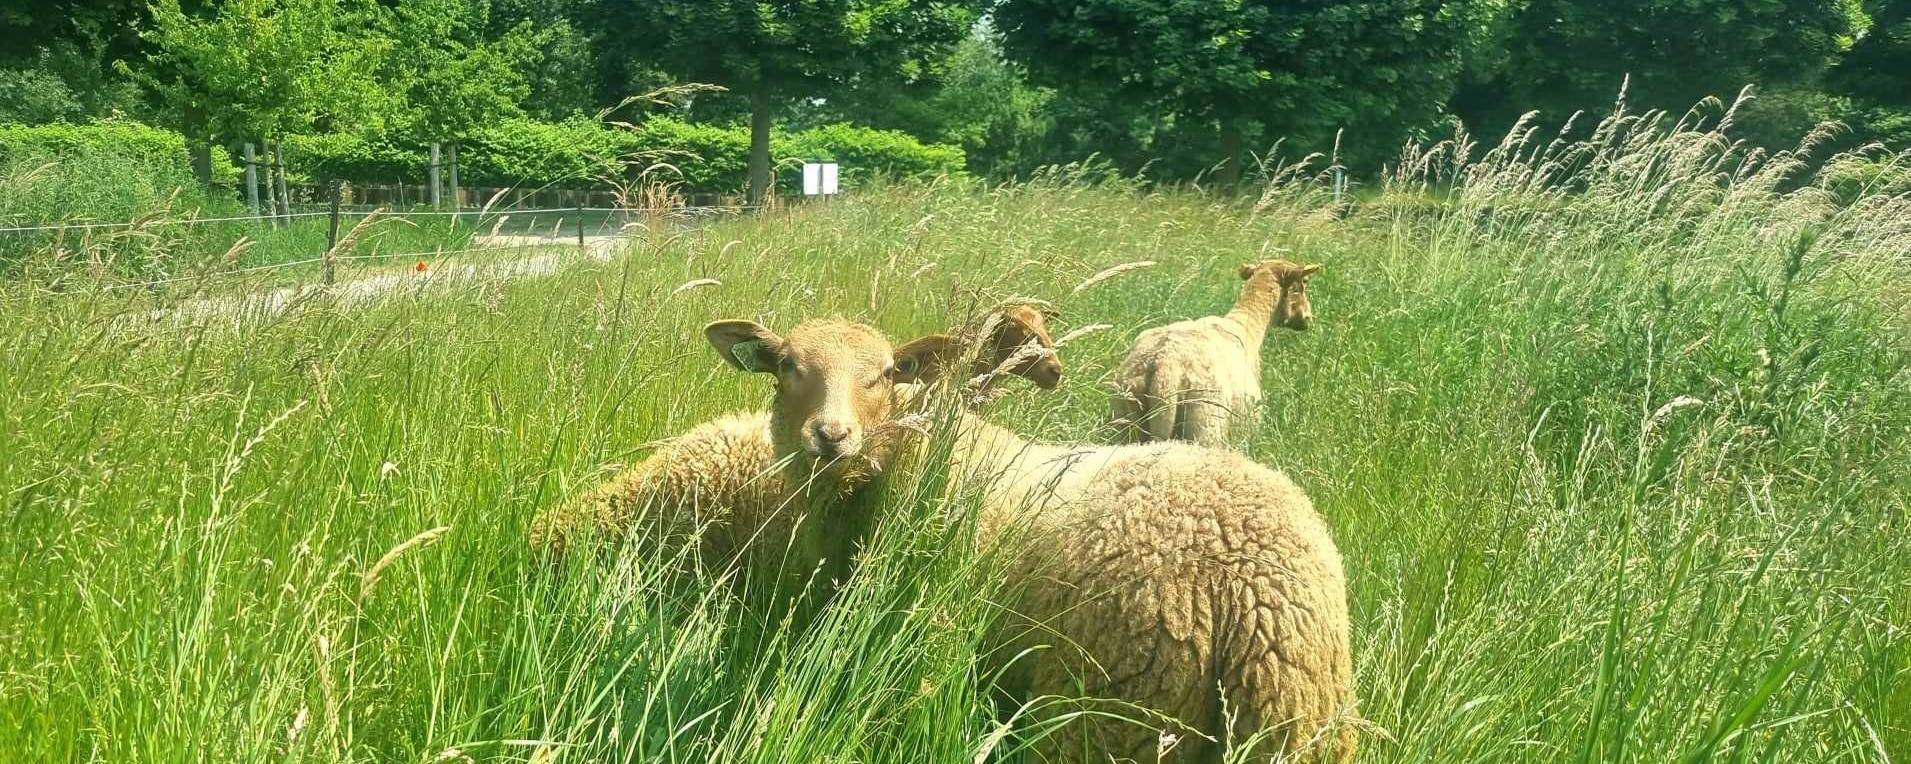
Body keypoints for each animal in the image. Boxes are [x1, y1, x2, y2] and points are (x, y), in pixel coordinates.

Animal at [1110, 259, 1320, 448]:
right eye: (1304, 283)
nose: (1308, 318)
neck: (1247, 325)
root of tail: (1164, 366)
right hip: (1205, 424)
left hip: (1124, 419)